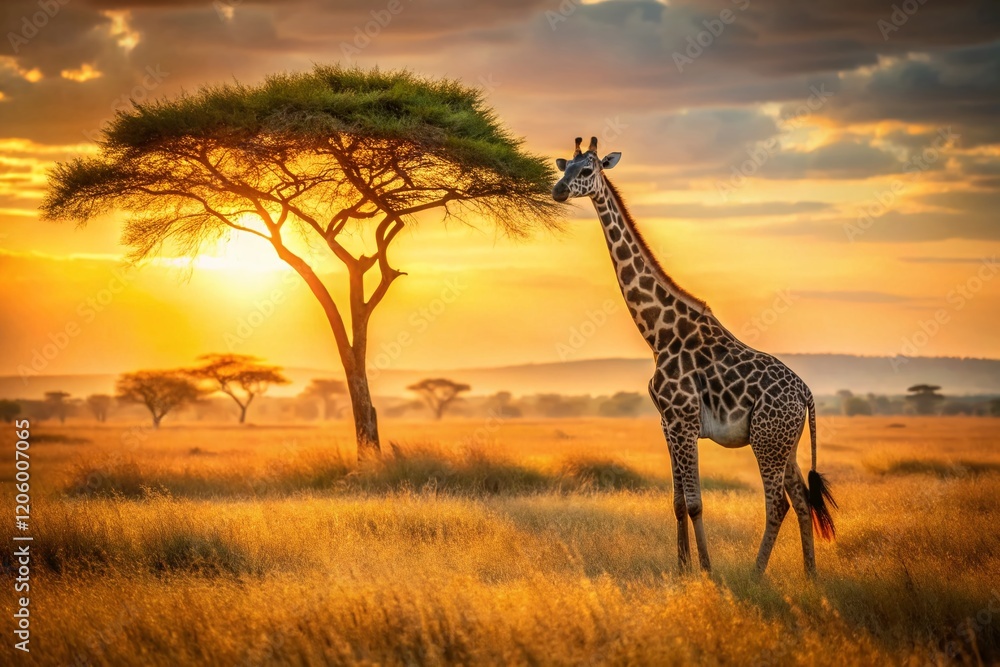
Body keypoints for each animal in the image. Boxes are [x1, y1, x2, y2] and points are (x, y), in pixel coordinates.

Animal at [552, 136, 836, 576]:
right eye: (564, 166)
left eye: (586, 170)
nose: (558, 191)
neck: (658, 333)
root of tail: (806, 394)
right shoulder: (667, 423)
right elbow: (676, 502)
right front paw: (683, 566)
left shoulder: (684, 421)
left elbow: (695, 501)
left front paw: (705, 569)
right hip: (784, 442)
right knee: (803, 500)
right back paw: (810, 575)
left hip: (767, 440)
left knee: (779, 504)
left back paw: (756, 575)